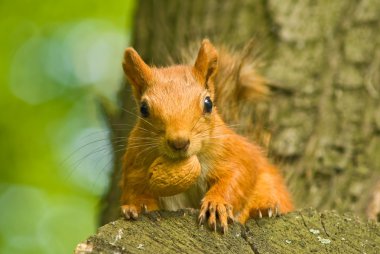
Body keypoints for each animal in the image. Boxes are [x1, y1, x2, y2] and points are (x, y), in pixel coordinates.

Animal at [120, 38, 292, 231]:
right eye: (143, 109)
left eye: (208, 103)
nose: (179, 142)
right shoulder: (136, 162)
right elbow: (134, 187)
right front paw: (138, 206)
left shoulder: (234, 152)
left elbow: (237, 175)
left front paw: (216, 204)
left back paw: (263, 209)